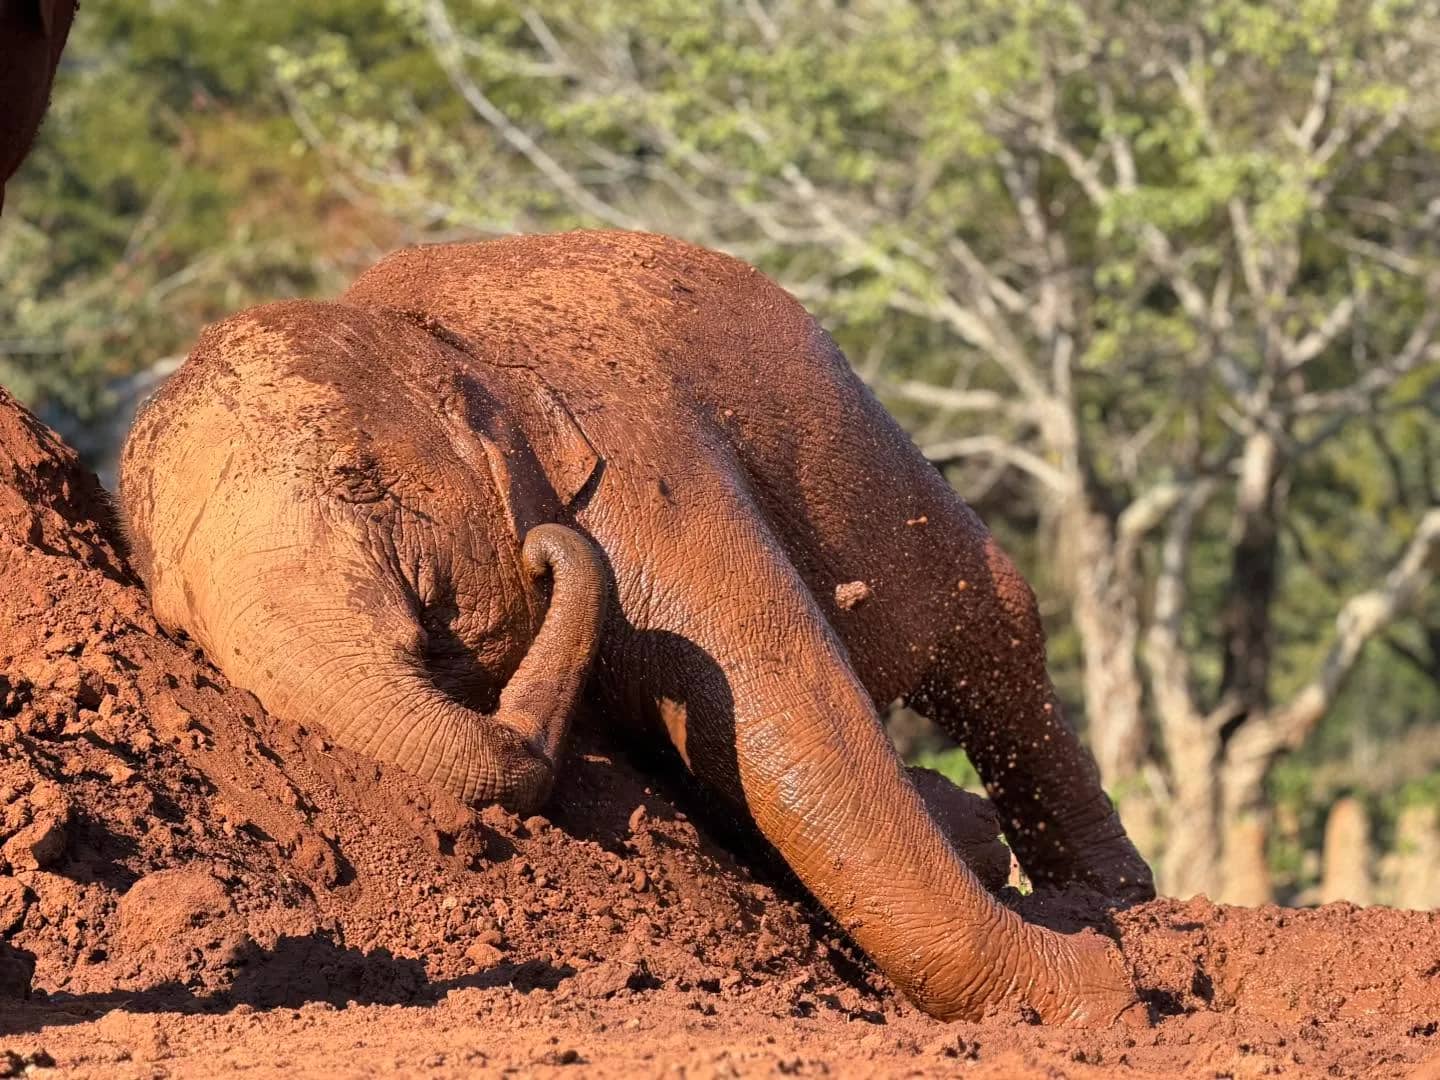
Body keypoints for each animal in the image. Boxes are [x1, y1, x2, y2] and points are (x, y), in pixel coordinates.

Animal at [118, 229, 1154, 1026]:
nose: (545, 556)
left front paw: (1102, 993)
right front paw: (1090, 980)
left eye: (356, 478)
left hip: (888, 472)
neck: (436, 342)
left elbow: (790, 718)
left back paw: (1113, 901)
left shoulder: (641, 466)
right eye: (175, 612)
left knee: (996, 634)